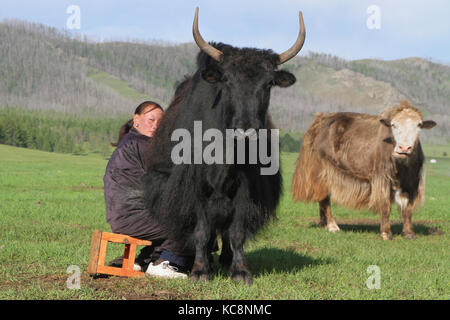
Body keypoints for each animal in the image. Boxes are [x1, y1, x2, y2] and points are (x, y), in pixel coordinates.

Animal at [292, 101, 436, 239]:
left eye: (419, 125)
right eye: (393, 125)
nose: (404, 148)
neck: (402, 166)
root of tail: (318, 120)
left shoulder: (412, 183)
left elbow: (408, 209)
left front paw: (409, 233)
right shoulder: (382, 179)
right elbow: (386, 206)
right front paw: (386, 233)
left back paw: (324, 224)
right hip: (321, 171)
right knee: (325, 198)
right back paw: (333, 226)